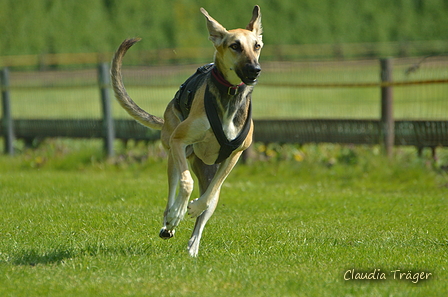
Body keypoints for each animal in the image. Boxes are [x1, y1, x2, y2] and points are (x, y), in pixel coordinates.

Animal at [110, 5, 262, 256]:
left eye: (256, 45)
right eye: (235, 45)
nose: (255, 70)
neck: (230, 95)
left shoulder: (235, 154)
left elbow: (210, 195)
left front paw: (195, 208)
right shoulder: (179, 141)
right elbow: (186, 183)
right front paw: (178, 213)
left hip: (207, 169)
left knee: (210, 198)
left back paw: (192, 245)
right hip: (173, 151)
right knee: (174, 188)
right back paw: (170, 219)